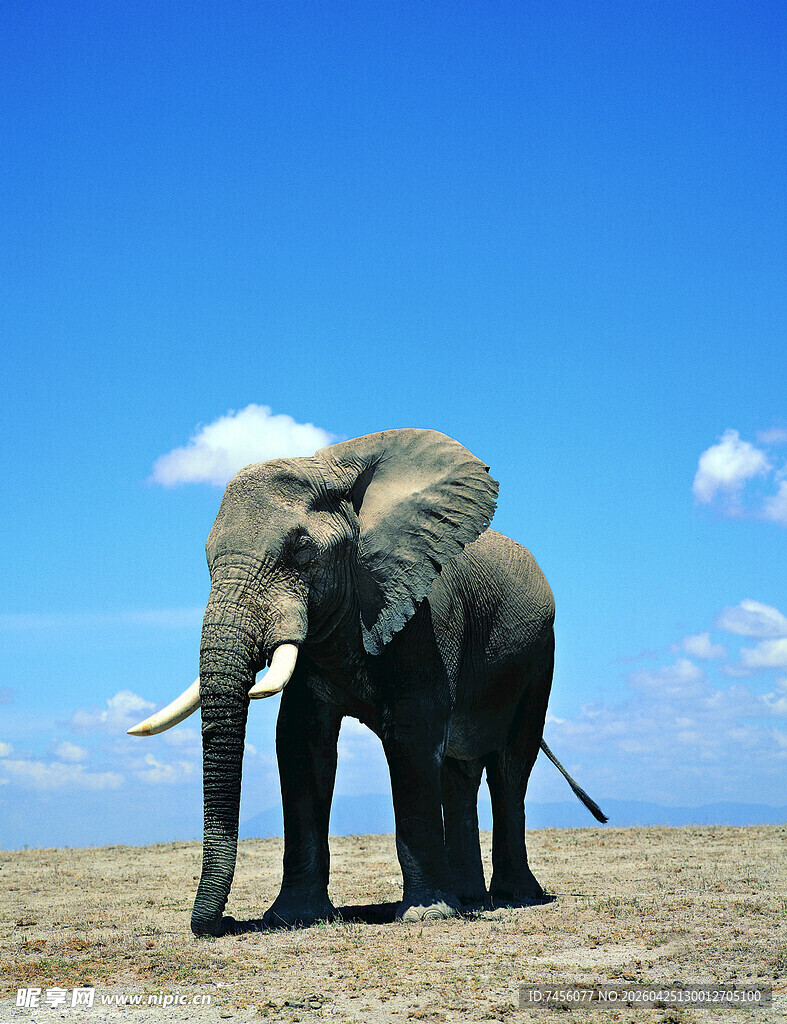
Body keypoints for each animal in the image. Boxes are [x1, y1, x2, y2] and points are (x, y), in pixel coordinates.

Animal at [128, 428, 606, 936]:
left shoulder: (424, 613)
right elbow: (300, 741)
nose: (221, 923)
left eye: (301, 552)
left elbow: (413, 738)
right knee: (458, 771)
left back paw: (513, 897)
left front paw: (426, 915)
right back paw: (469, 898)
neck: (334, 467)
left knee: (511, 765)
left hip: (539, 657)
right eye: (206, 559)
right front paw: (292, 917)